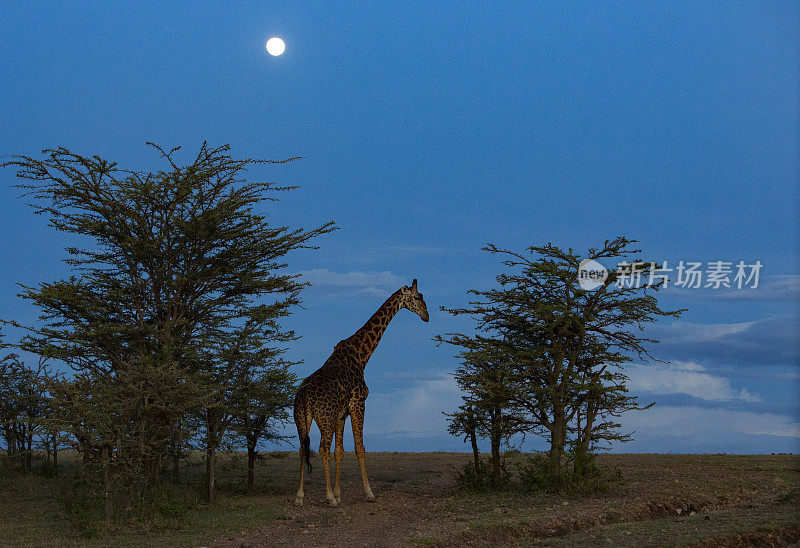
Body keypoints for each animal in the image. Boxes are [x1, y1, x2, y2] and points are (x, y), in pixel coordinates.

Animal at [294, 280, 432, 508]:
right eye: (416, 298)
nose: (426, 316)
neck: (361, 355)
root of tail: (304, 394)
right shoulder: (358, 403)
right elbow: (360, 447)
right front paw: (368, 493)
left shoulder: (342, 413)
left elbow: (340, 451)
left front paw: (339, 493)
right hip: (325, 418)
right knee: (322, 448)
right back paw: (328, 498)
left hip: (301, 418)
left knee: (302, 448)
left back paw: (300, 496)